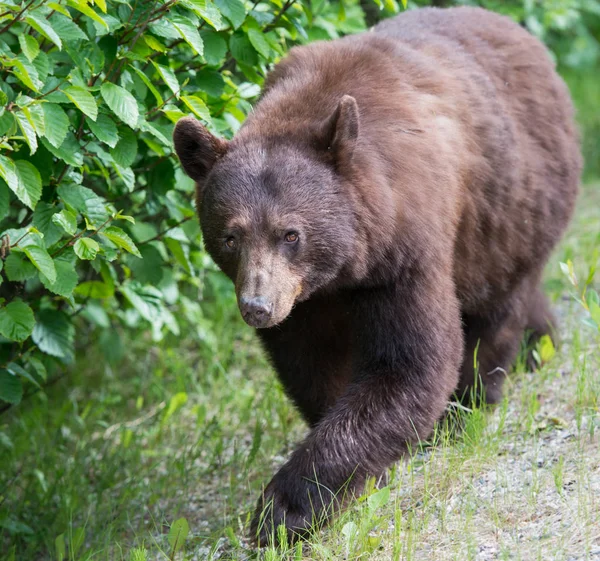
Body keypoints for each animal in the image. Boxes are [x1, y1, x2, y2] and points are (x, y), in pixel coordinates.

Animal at [172, 6, 580, 544]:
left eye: (290, 233)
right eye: (230, 237)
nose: (258, 307)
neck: (343, 268)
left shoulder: (402, 254)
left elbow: (408, 364)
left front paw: (283, 509)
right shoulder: (308, 303)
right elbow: (313, 366)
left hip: (510, 212)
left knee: (496, 310)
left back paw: (471, 403)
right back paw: (541, 342)